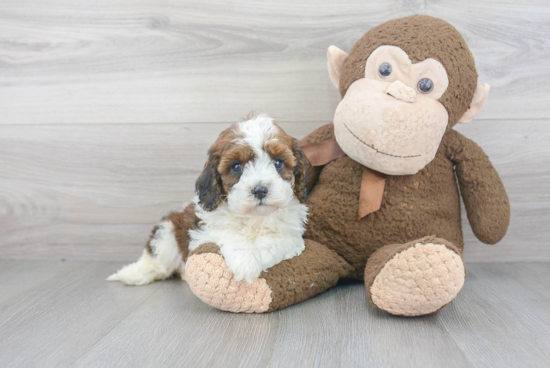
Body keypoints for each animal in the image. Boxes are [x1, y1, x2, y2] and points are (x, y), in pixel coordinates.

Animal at [105, 113, 308, 286]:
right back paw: (132, 274)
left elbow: (280, 238)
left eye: (278, 162)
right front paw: (245, 263)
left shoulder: (294, 234)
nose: (259, 190)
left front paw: (263, 253)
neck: (254, 217)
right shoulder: (201, 232)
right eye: (236, 166)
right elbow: (228, 233)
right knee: (157, 264)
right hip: (168, 232)